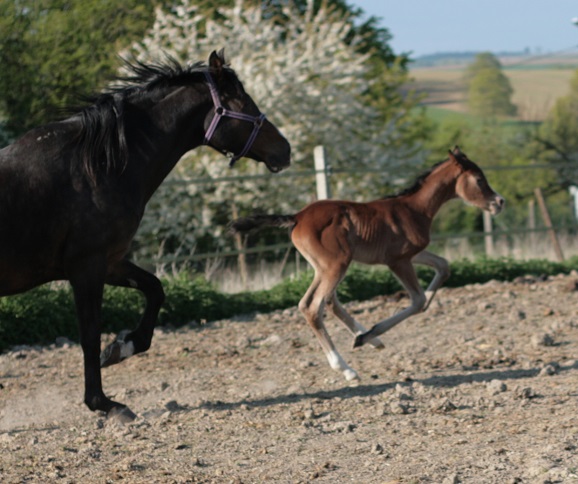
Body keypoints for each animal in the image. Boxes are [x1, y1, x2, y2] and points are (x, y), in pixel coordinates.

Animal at [232, 147, 502, 382]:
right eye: (479, 180)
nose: (499, 202)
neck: (414, 208)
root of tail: (296, 217)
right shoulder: (398, 260)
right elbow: (418, 301)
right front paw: (372, 332)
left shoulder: (411, 254)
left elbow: (443, 266)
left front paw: (368, 336)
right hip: (336, 264)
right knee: (313, 306)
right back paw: (347, 367)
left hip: (325, 267)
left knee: (324, 301)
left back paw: (367, 340)